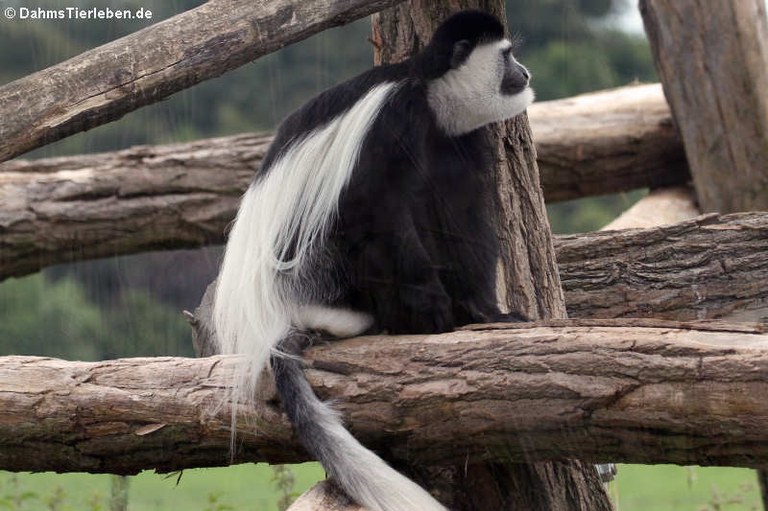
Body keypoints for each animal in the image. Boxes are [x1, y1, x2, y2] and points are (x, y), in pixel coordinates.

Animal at [213, 10, 532, 511]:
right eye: (508, 55)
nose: (525, 75)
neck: (427, 94)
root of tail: (269, 317)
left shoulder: (459, 140)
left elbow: (460, 218)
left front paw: (486, 313)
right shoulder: (392, 120)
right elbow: (377, 207)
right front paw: (433, 314)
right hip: (309, 271)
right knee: (350, 224)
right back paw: (363, 318)